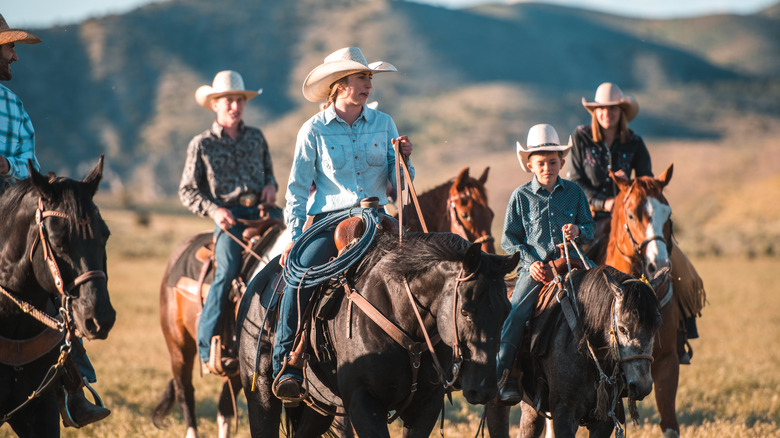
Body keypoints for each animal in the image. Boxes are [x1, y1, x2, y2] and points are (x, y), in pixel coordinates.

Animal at [236, 231, 516, 436]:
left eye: (506, 311)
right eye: (466, 310)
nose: (485, 389)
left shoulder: (426, 405)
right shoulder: (363, 403)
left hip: (321, 407)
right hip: (261, 393)